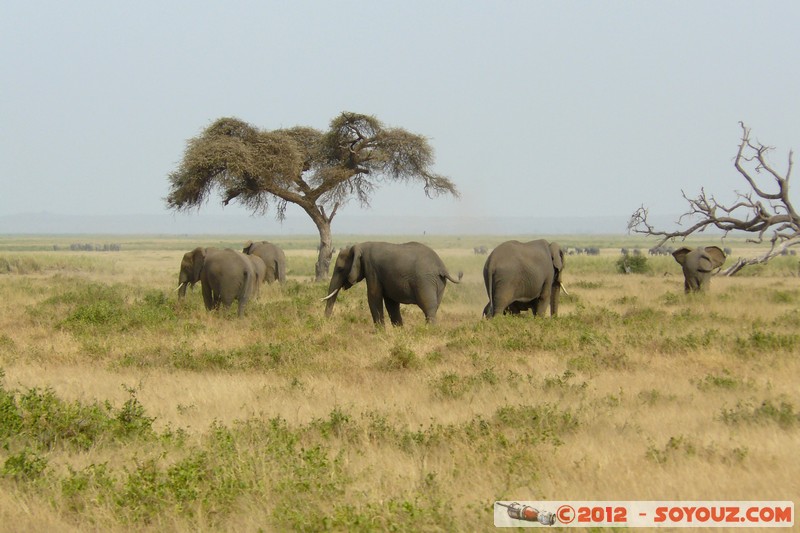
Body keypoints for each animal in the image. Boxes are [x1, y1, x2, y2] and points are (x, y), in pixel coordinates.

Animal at [320, 240, 460, 324]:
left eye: (340, 269)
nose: (326, 321)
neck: (360, 246)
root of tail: (442, 267)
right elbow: (391, 303)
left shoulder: (372, 269)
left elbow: (373, 297)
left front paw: (380, 333)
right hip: (439, 283)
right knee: (434, 307)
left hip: (425, 281)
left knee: (428, 308)